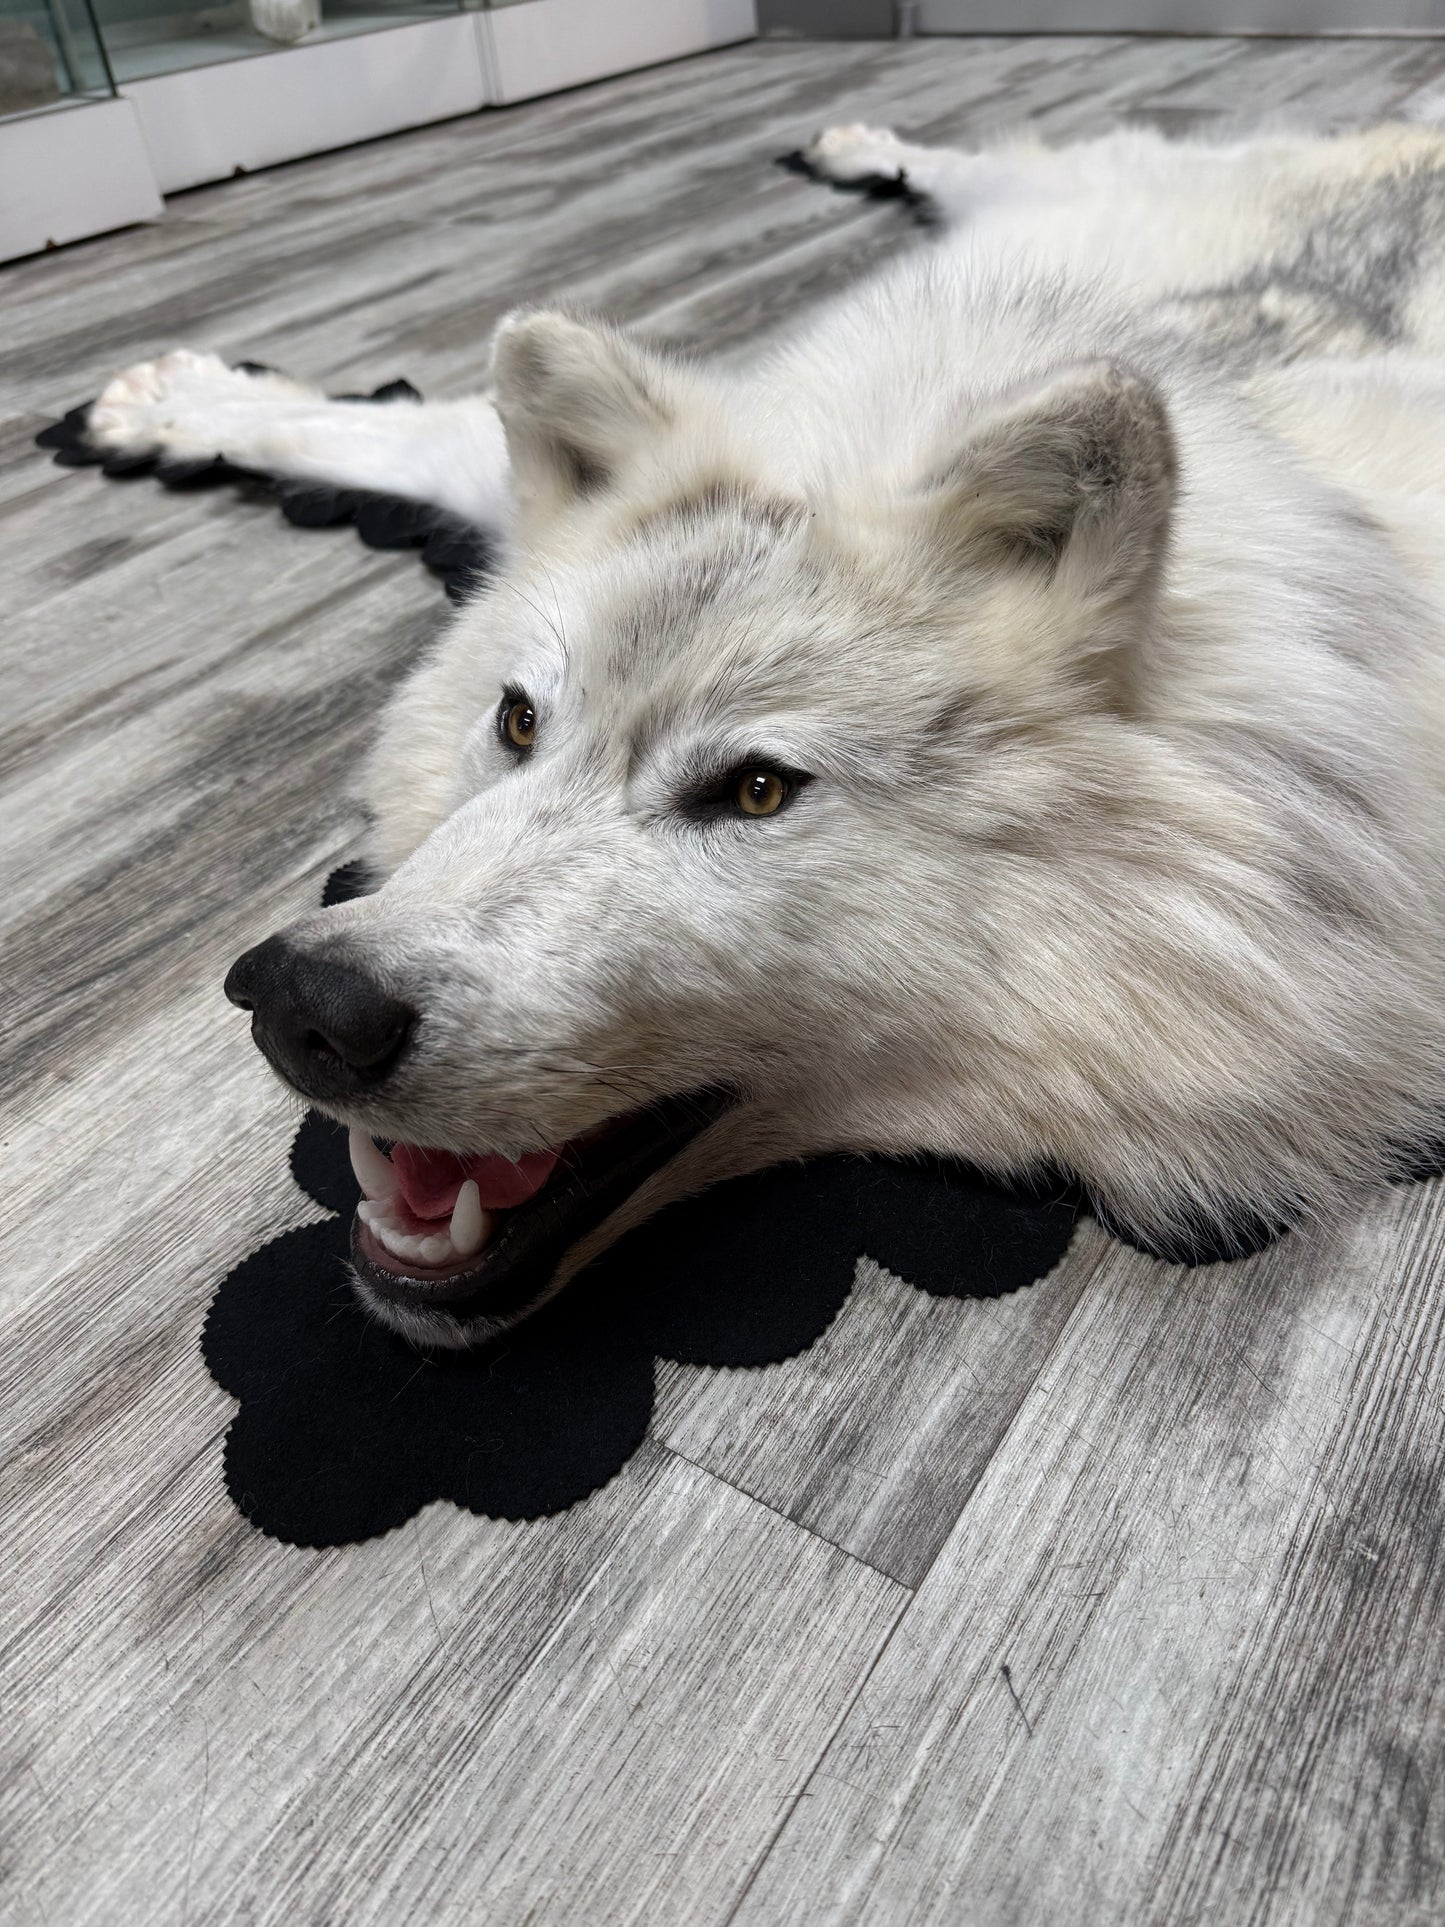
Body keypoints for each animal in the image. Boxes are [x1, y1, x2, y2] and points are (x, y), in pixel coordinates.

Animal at [79, 120, 1445, 1346]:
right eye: (518, 722)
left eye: (754, 791)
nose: (303, 1000)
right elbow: (412, 424)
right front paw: (187, 407)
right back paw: (856, 142)